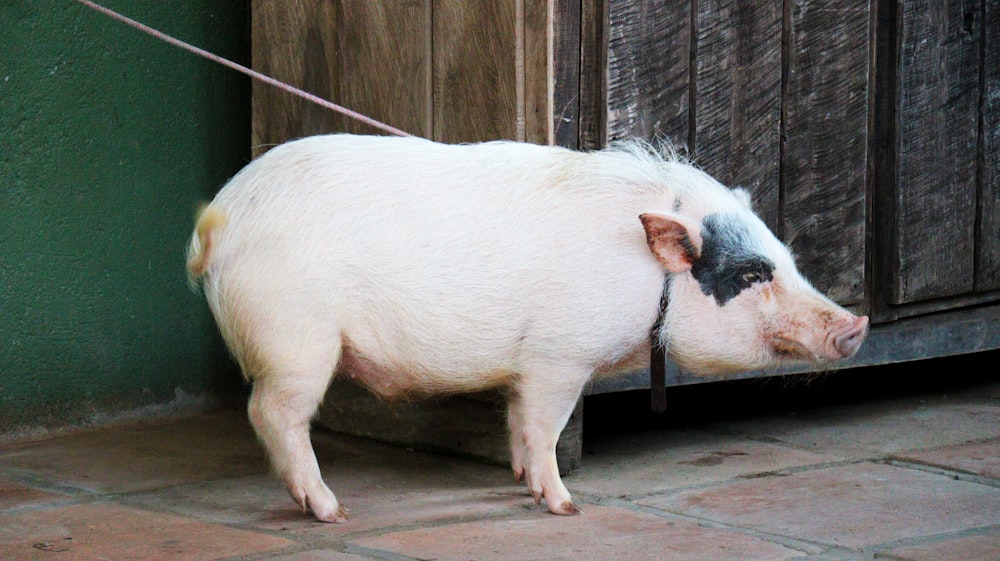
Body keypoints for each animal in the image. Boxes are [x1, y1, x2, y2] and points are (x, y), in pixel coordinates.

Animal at [188, 133, 868, 524]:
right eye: (750, 275)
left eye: (787, 260)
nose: (857, 324)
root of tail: (218, 221)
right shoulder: (558, 355)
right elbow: (546, 427)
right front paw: (566, 507)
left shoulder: (528, 366)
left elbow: (517, 420)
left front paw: (518, 482)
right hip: (295, 340)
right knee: (272, 414)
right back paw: (333, 513)